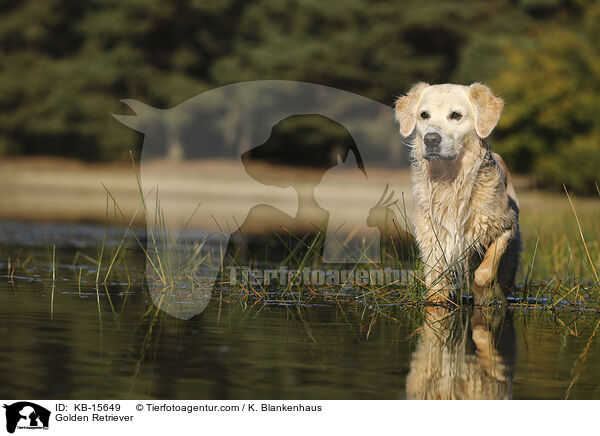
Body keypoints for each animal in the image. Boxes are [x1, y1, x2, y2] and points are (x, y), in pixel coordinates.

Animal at [394, 82, 520, 304]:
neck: (450, 181)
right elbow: (436, 285)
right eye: (424, 115)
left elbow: (484, 272)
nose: (431, 139)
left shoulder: (506, 227)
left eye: (456, 115)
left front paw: (483, 292)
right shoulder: (432, 238)